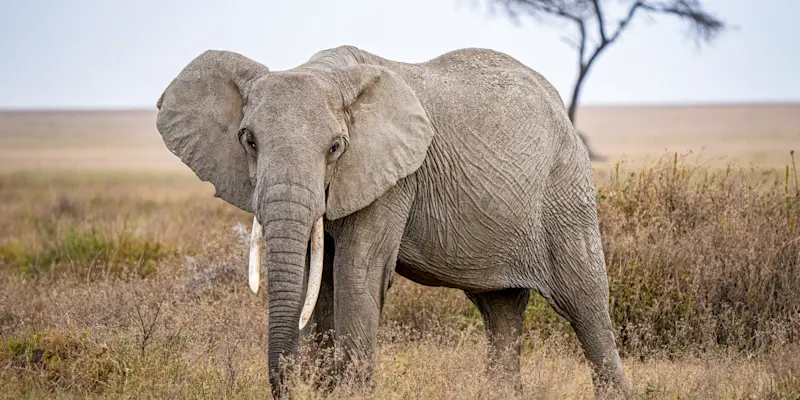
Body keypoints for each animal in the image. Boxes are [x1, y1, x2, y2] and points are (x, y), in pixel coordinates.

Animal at [155, 45, 631, 398]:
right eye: (248, 140)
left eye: (335, 147)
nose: (287, 384)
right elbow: (317, 278)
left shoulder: (395, 179)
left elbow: (357, 272)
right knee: (501, 311)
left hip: (565, 193)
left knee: (586, 306)